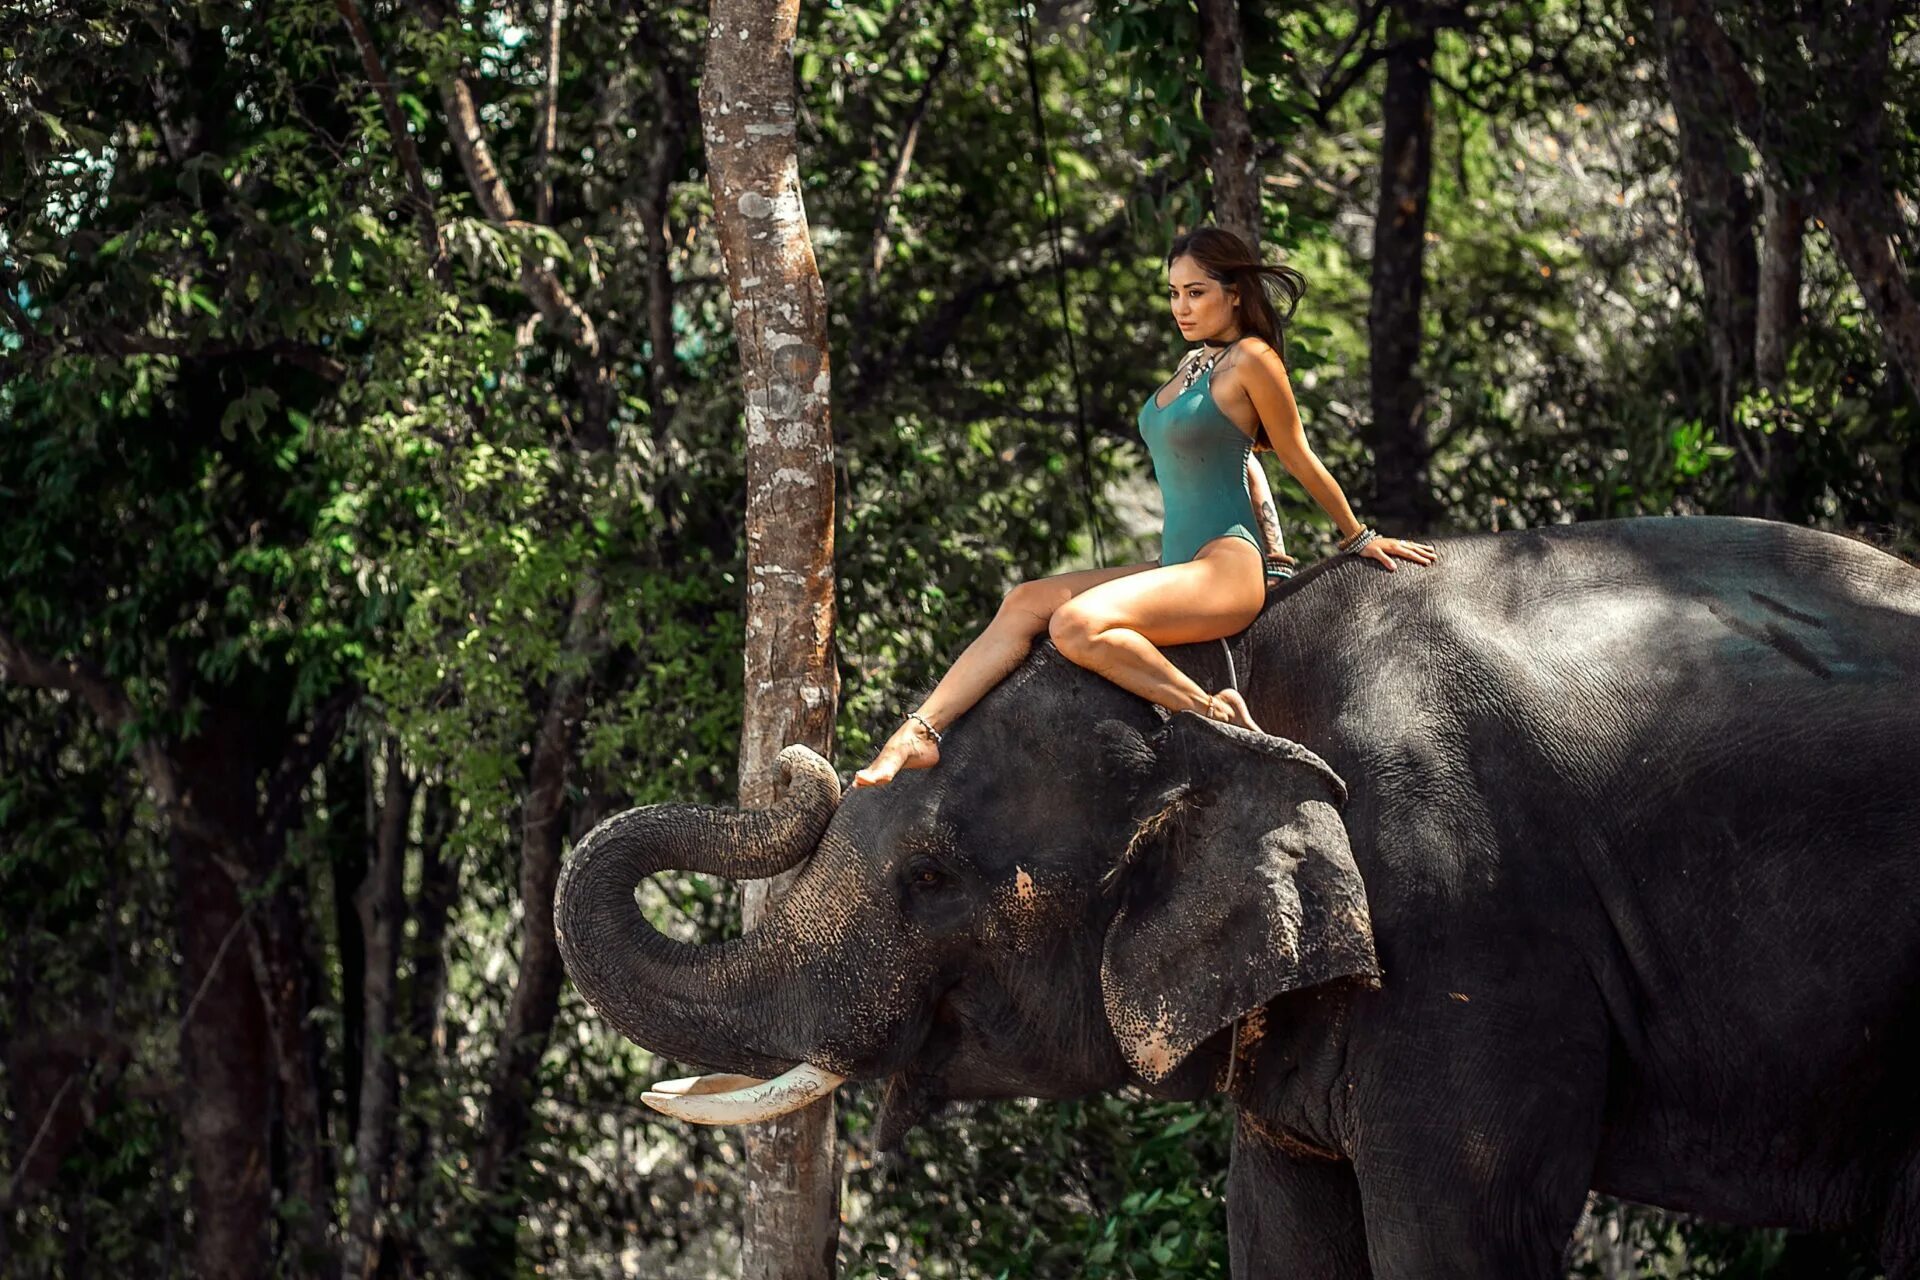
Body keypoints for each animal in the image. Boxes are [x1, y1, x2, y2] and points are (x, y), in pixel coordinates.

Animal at [552, 514, 1920, 1274]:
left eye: (929, 877)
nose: (802, 762)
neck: (1236, 671)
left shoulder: (1477, 926)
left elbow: (1457, 1237)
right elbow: (1282, 1231)